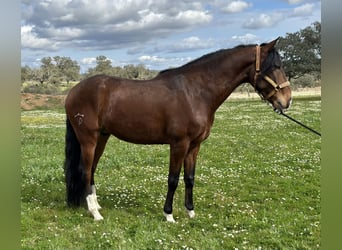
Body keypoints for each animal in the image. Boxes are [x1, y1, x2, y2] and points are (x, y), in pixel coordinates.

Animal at [64, 38, 292, 222]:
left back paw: (95, 205)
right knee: (85, 170)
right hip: (88, 139)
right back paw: (95, 213)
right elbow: (173, 179)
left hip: (102, 137)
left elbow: (189, 178)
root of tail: (73, 91)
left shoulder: (194, 145)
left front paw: (190, 212)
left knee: (92, 169)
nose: (286, 100)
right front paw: (169, 215)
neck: (195, 92)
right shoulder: (179, 144)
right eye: (275, 66)